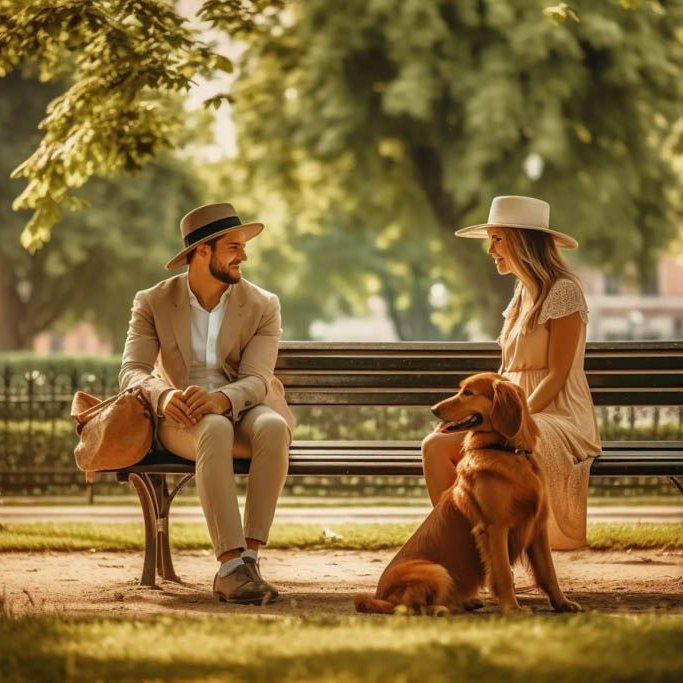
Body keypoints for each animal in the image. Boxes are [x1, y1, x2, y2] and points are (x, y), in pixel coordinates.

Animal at [356, 374, 584, 620]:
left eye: (468, 392)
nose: (433, 409)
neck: (507, 451)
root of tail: (379, 595)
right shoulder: (494, 527)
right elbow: (503, 572)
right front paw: (512, 609)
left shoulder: (538, 528)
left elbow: (549, 573)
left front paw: (562, 603)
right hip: (436, 570)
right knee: (407, 607)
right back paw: (440, 608)